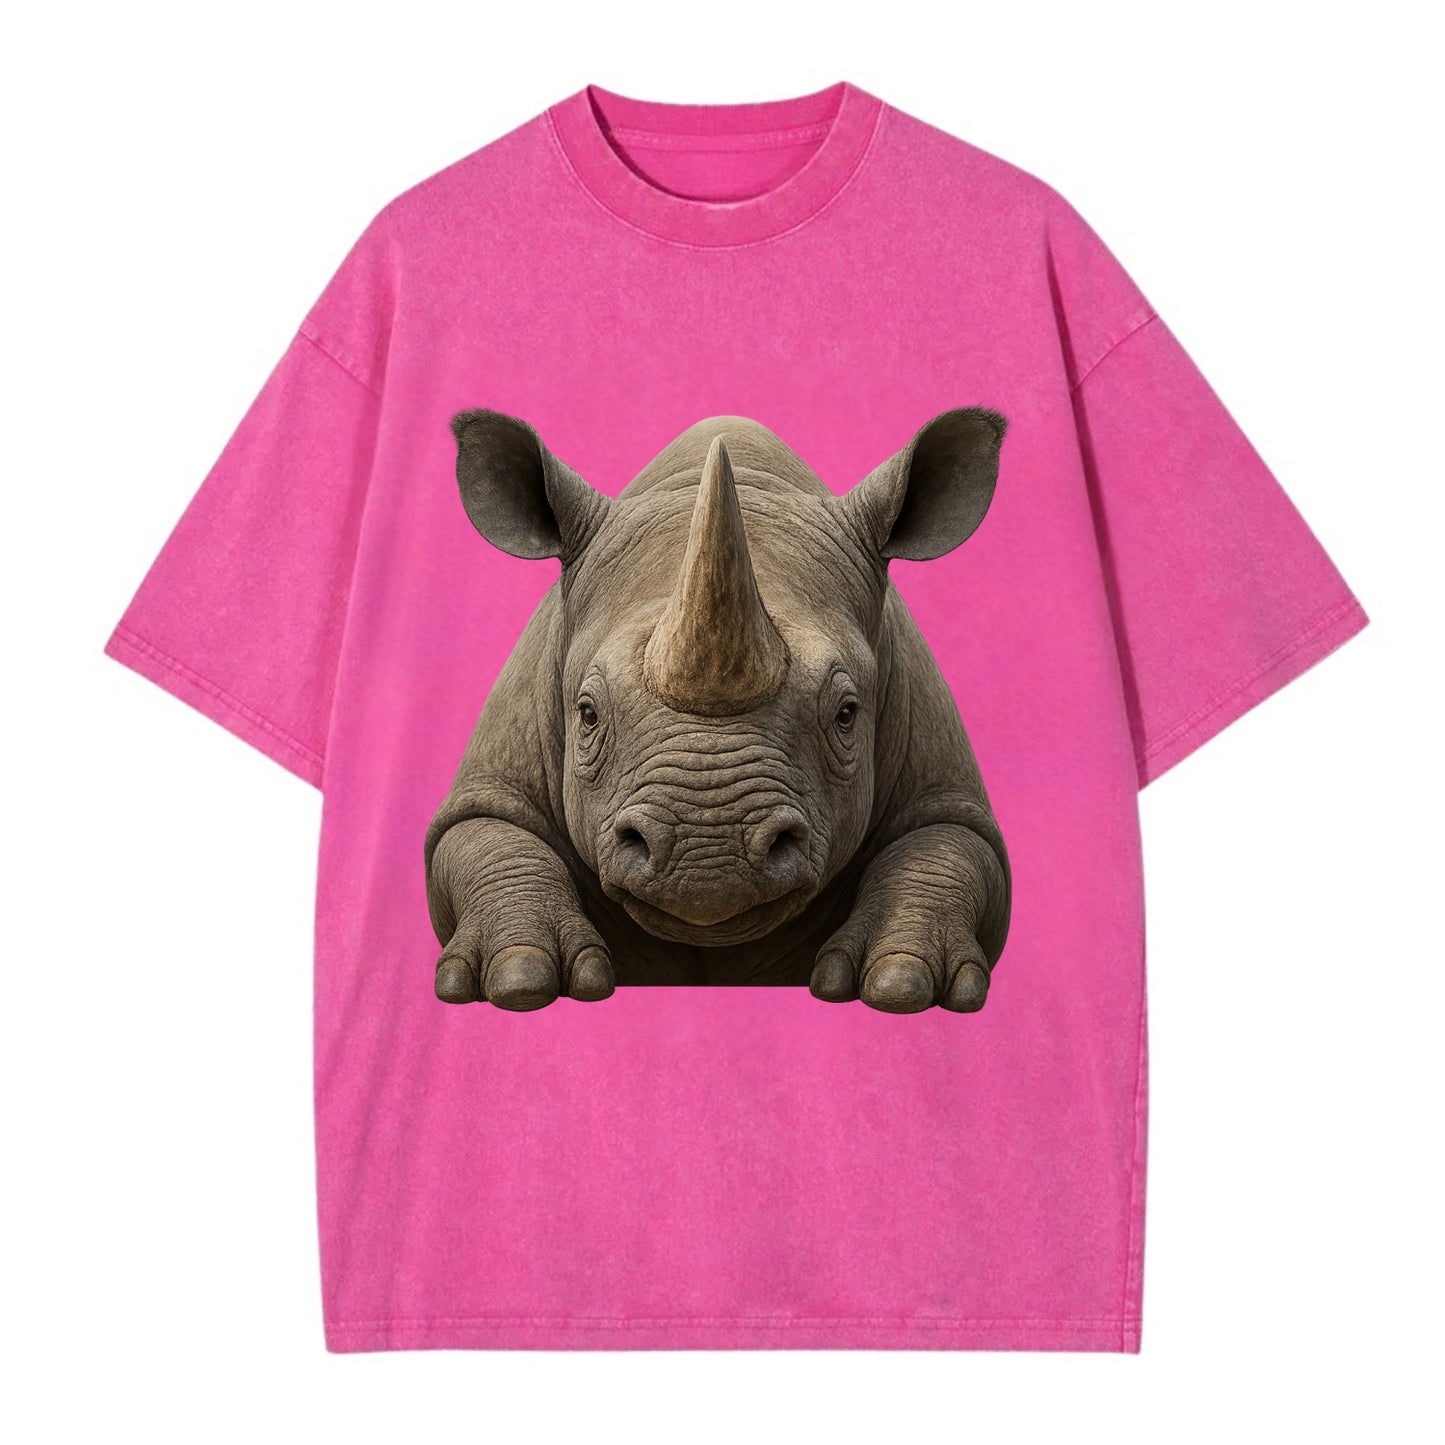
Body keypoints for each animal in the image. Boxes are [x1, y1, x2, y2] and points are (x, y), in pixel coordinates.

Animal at [424, 408, 1012, 1015]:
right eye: (587, 714)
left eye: (847, 714)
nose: (708, 858)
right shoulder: (494, 780)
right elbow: (486, 834)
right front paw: (520, 978)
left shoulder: (941, 781)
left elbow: (946, 845)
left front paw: (901, 982)